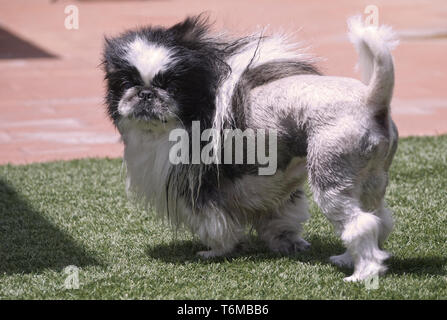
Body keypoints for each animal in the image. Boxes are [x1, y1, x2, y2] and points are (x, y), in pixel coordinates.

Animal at [103, 14, 400, 280]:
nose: (145, 93)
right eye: (126, 83)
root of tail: (371, 100)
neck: (202, 107)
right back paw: (348, 258)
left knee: (360, 224)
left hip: (331, 182)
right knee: (379, 220)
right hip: (369, 181)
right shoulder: (274, 190)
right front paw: (286, 244)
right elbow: (279, 220)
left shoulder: (201, 191)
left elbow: (216, 226)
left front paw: (215, 252)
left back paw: (363, 274)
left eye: (171, 86)